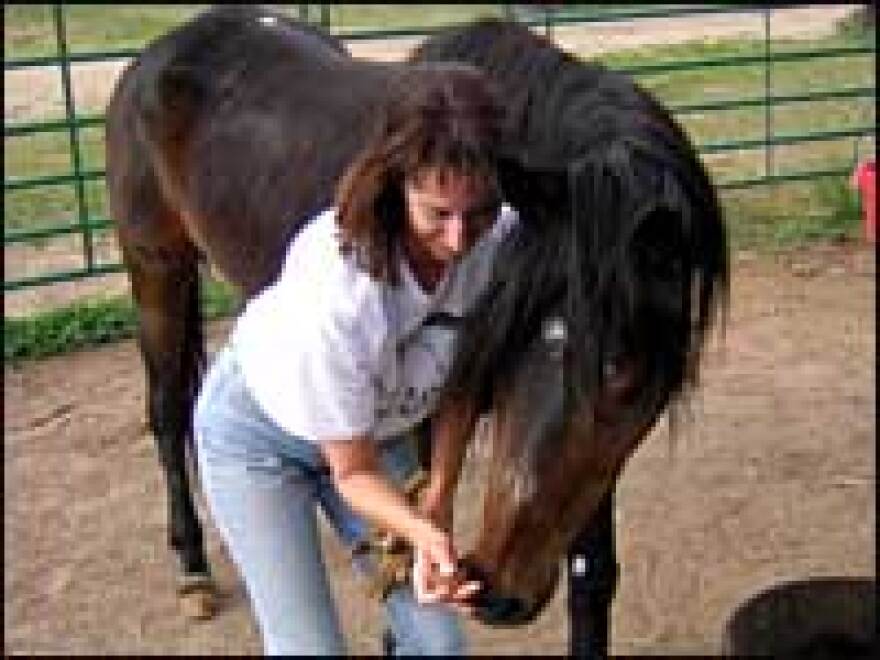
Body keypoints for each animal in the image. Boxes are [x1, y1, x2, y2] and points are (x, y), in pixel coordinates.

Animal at [106, 5, 728, 656]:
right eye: (510, 335)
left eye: (624, 375)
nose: (500, 592)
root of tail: (169, 48)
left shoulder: (592, 464)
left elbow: (591, 578)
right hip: (157, 267)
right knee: (169, 410)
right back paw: (193, 568)